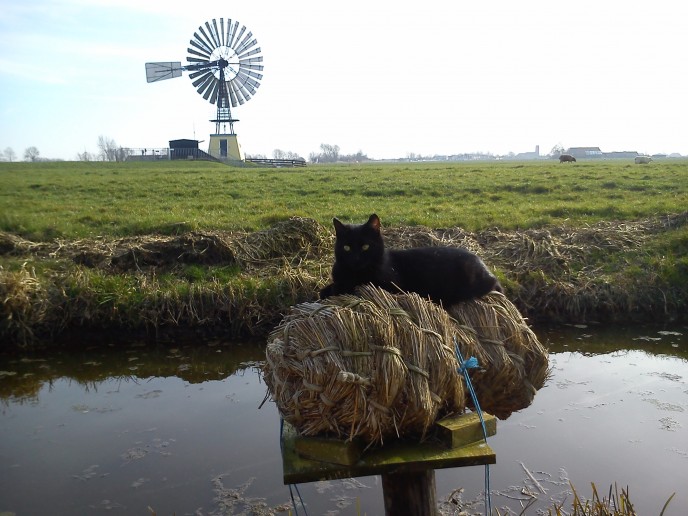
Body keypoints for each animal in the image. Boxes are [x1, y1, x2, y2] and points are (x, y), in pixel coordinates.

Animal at [320, 215, 502, 306]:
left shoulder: (391, 287)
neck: (353, 274)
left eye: (365, 247)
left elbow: (345, 289)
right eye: (347, 248)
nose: (356, 259)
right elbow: (327, 289)